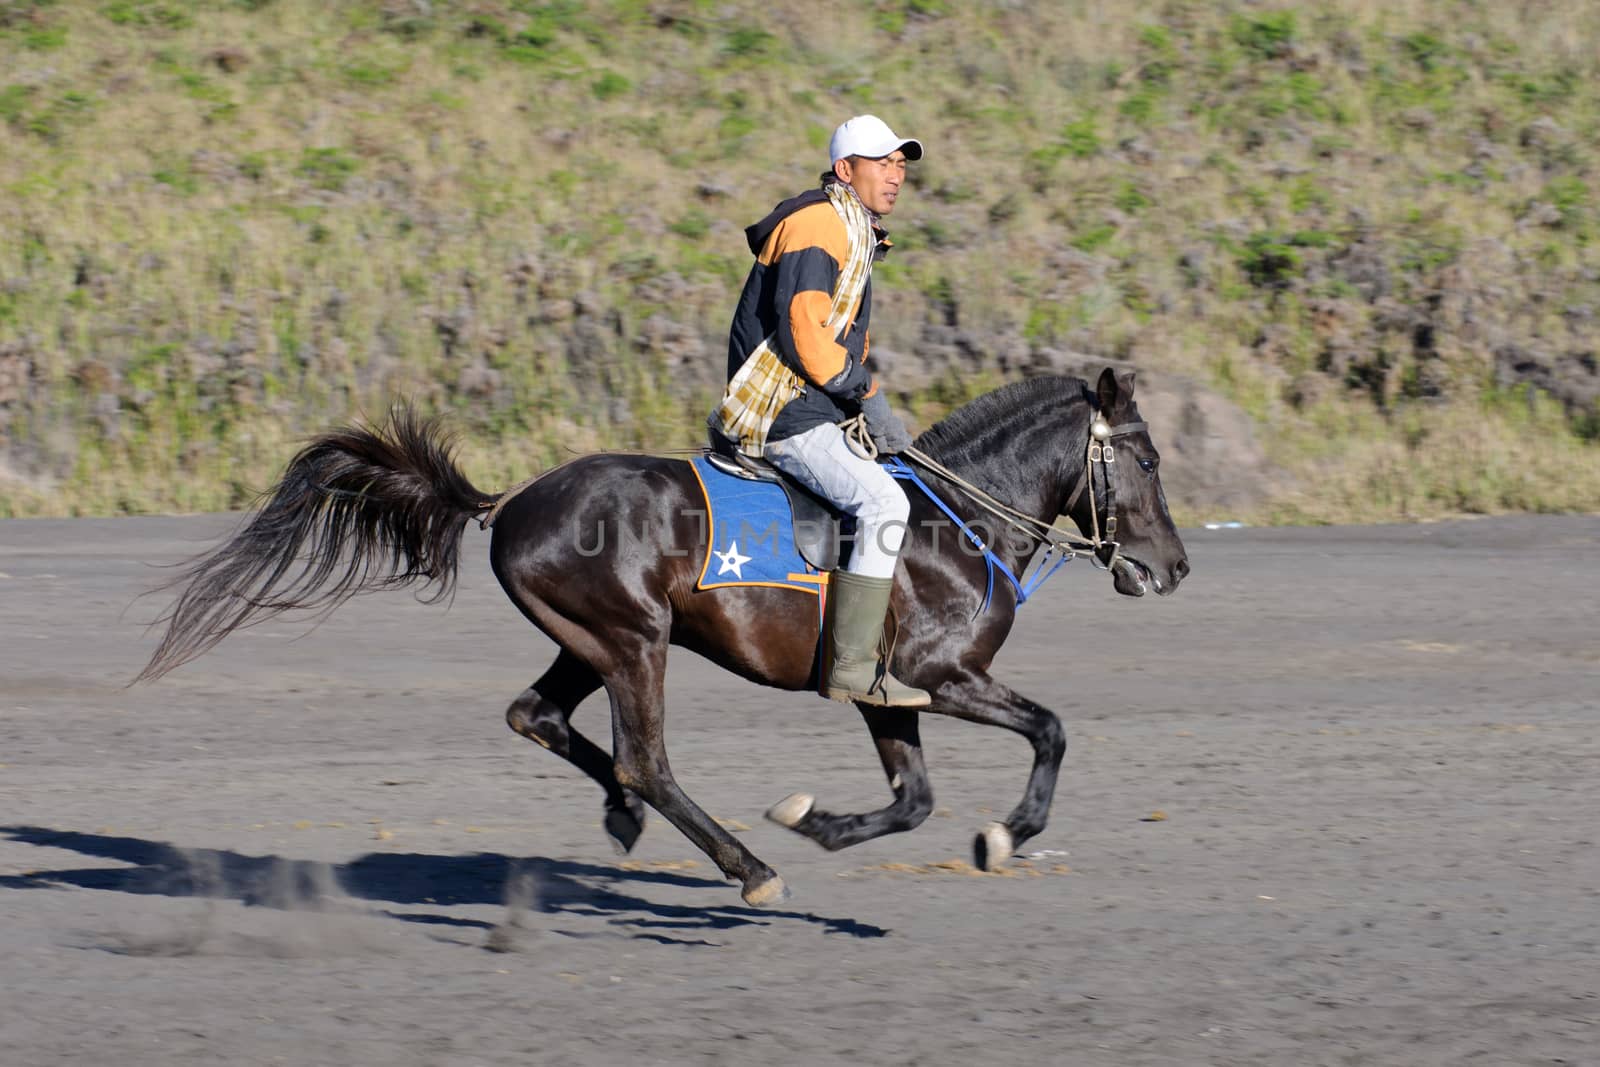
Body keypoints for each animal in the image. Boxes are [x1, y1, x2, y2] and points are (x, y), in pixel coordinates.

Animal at [137, 371, 1190, 908]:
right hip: (633, 642)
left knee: (540, 718)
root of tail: (511, 501)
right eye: (1145, 456)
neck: (951, 522)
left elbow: (914, 799)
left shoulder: (890, 692)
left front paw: (821, 821)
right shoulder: (945, 673)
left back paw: (627, 817)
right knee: (644, 756)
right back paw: (742, 865)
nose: (1174, 567)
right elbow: (1049, 730)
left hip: (589, 642)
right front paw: (1005, 830)